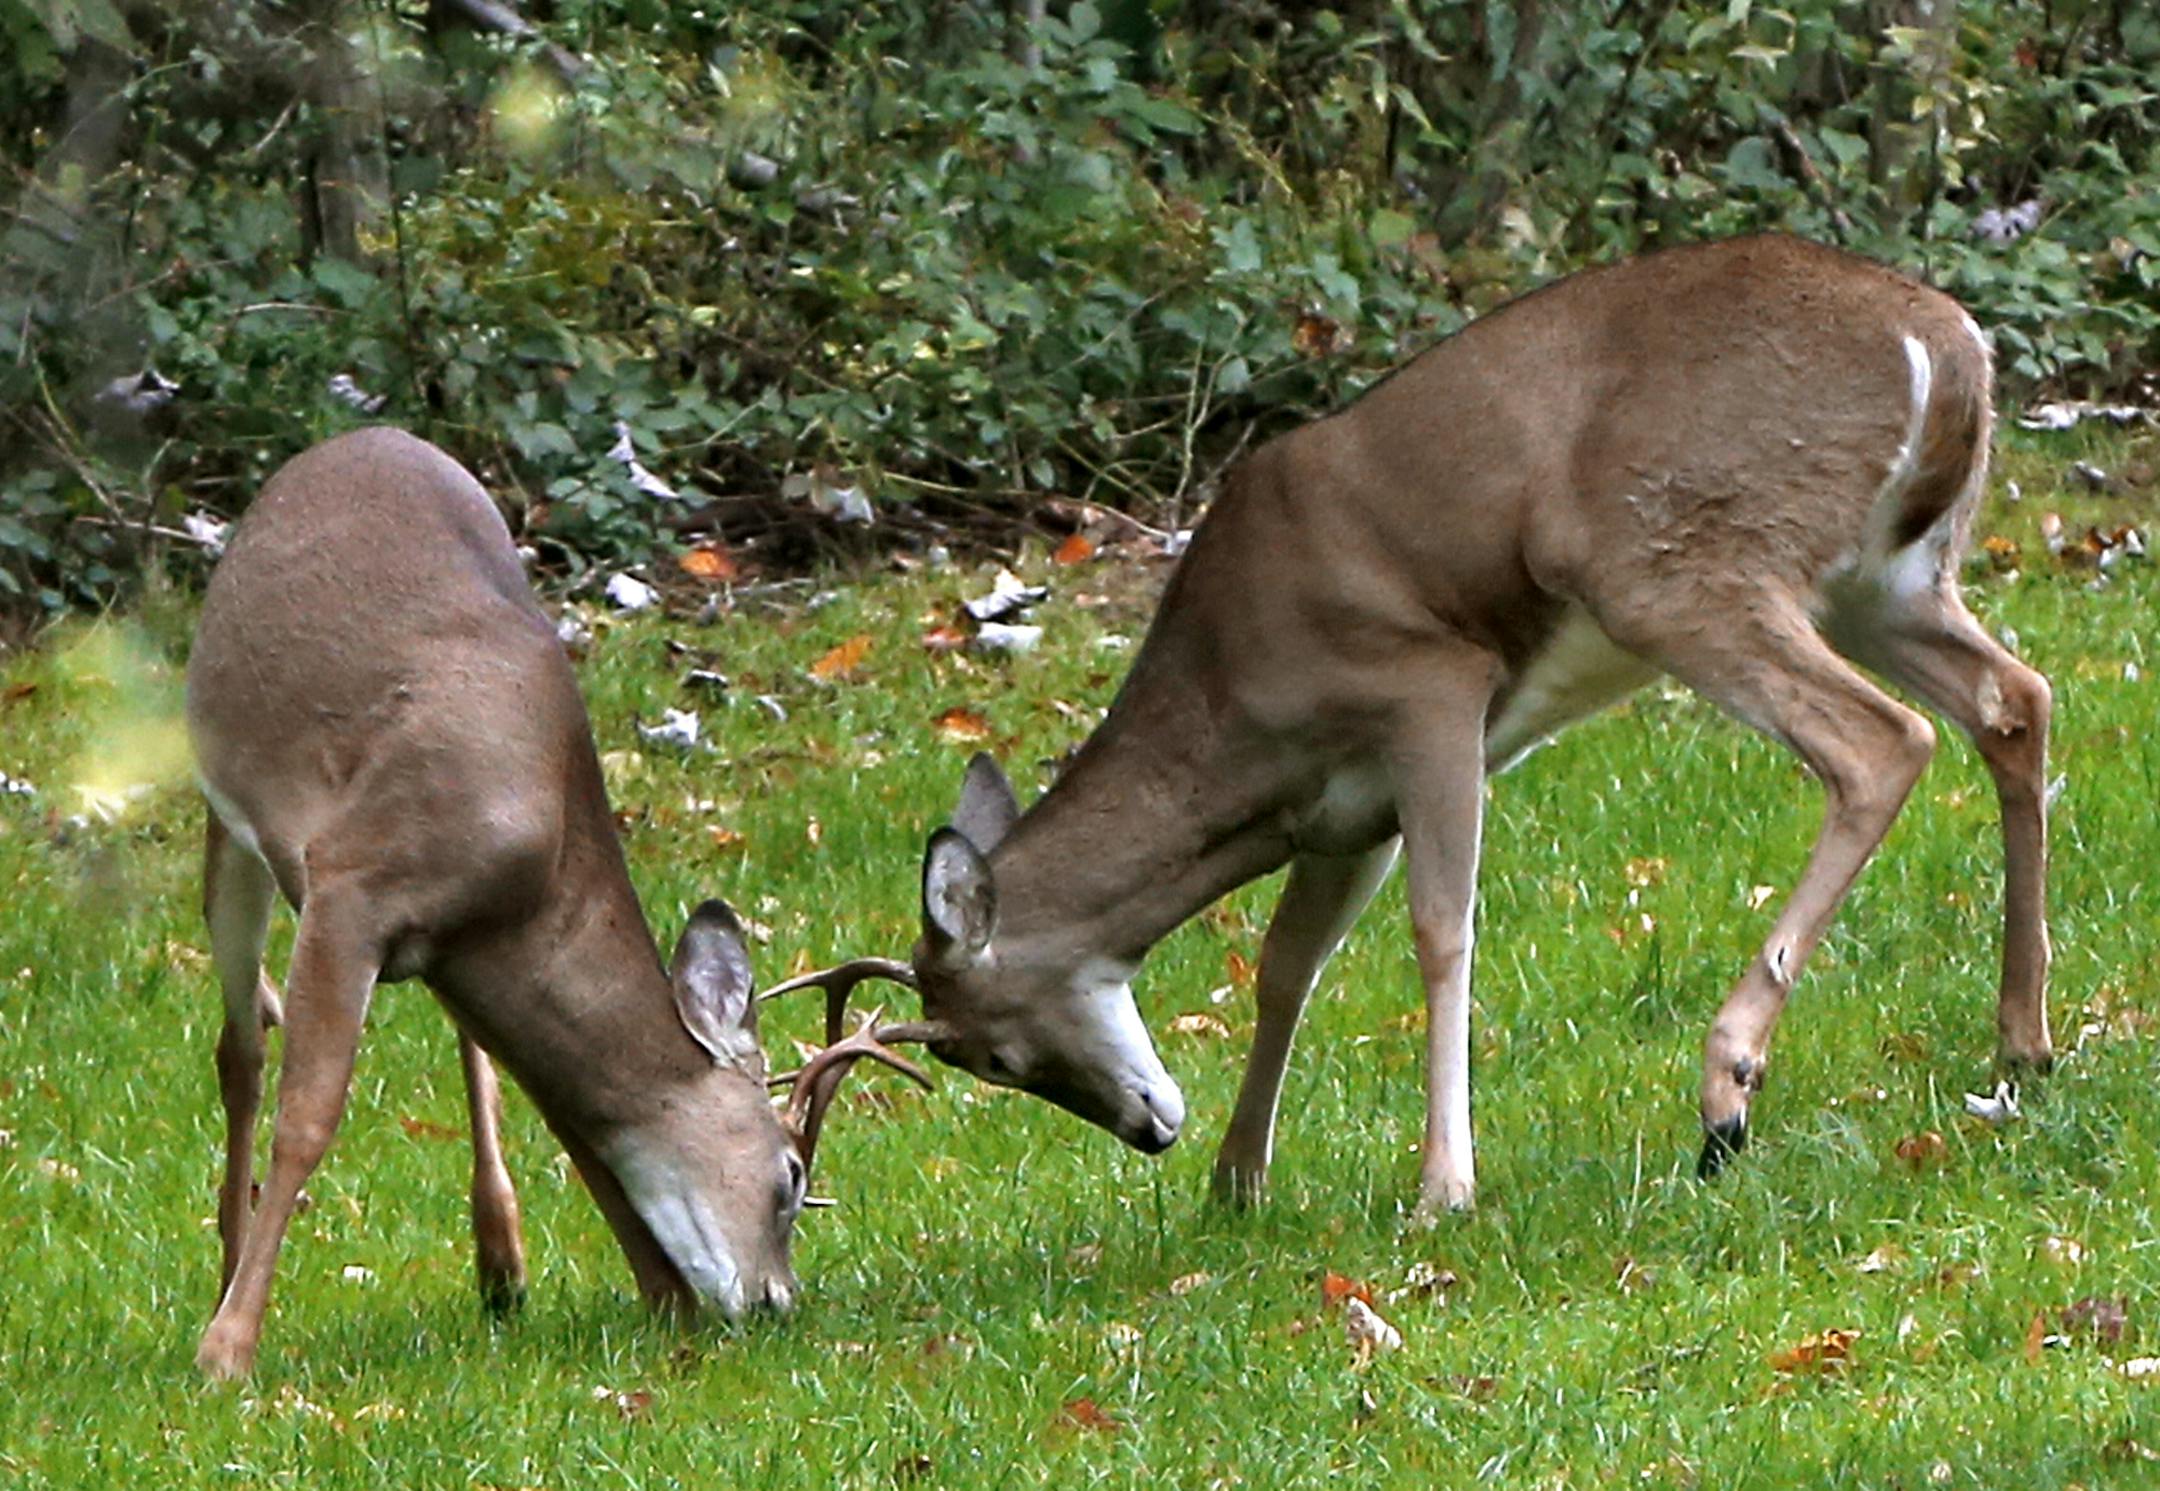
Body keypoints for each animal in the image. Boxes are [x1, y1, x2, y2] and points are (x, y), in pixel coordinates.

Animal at [184, 426, 931, 1379]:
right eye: (791, 1175)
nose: (775, 1299)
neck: (537, 839)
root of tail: (348, 441)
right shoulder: (353, 883)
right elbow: (308, 1118)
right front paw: (228, 1348)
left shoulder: (470, 944)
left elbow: (572, 1116)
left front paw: (664, 1295)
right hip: (229, 811)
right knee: (238, 1047)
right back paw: (229, 1272)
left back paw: (500, 1261)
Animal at [796, 234, 2054, 1220]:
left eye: (997, 1053)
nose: (1152, 1130)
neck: (1236, 707)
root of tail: (1948, 346)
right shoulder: (1343, 812)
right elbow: (1286, 968)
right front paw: (1236, 1184)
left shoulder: (1429, 687)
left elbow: (1442, 930)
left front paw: (1441, 1184)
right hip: (1884, 579)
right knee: (2015, 699)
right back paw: (2022, 1044)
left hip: (1680, 561)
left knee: (1882, 741)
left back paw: (1727, 1091)